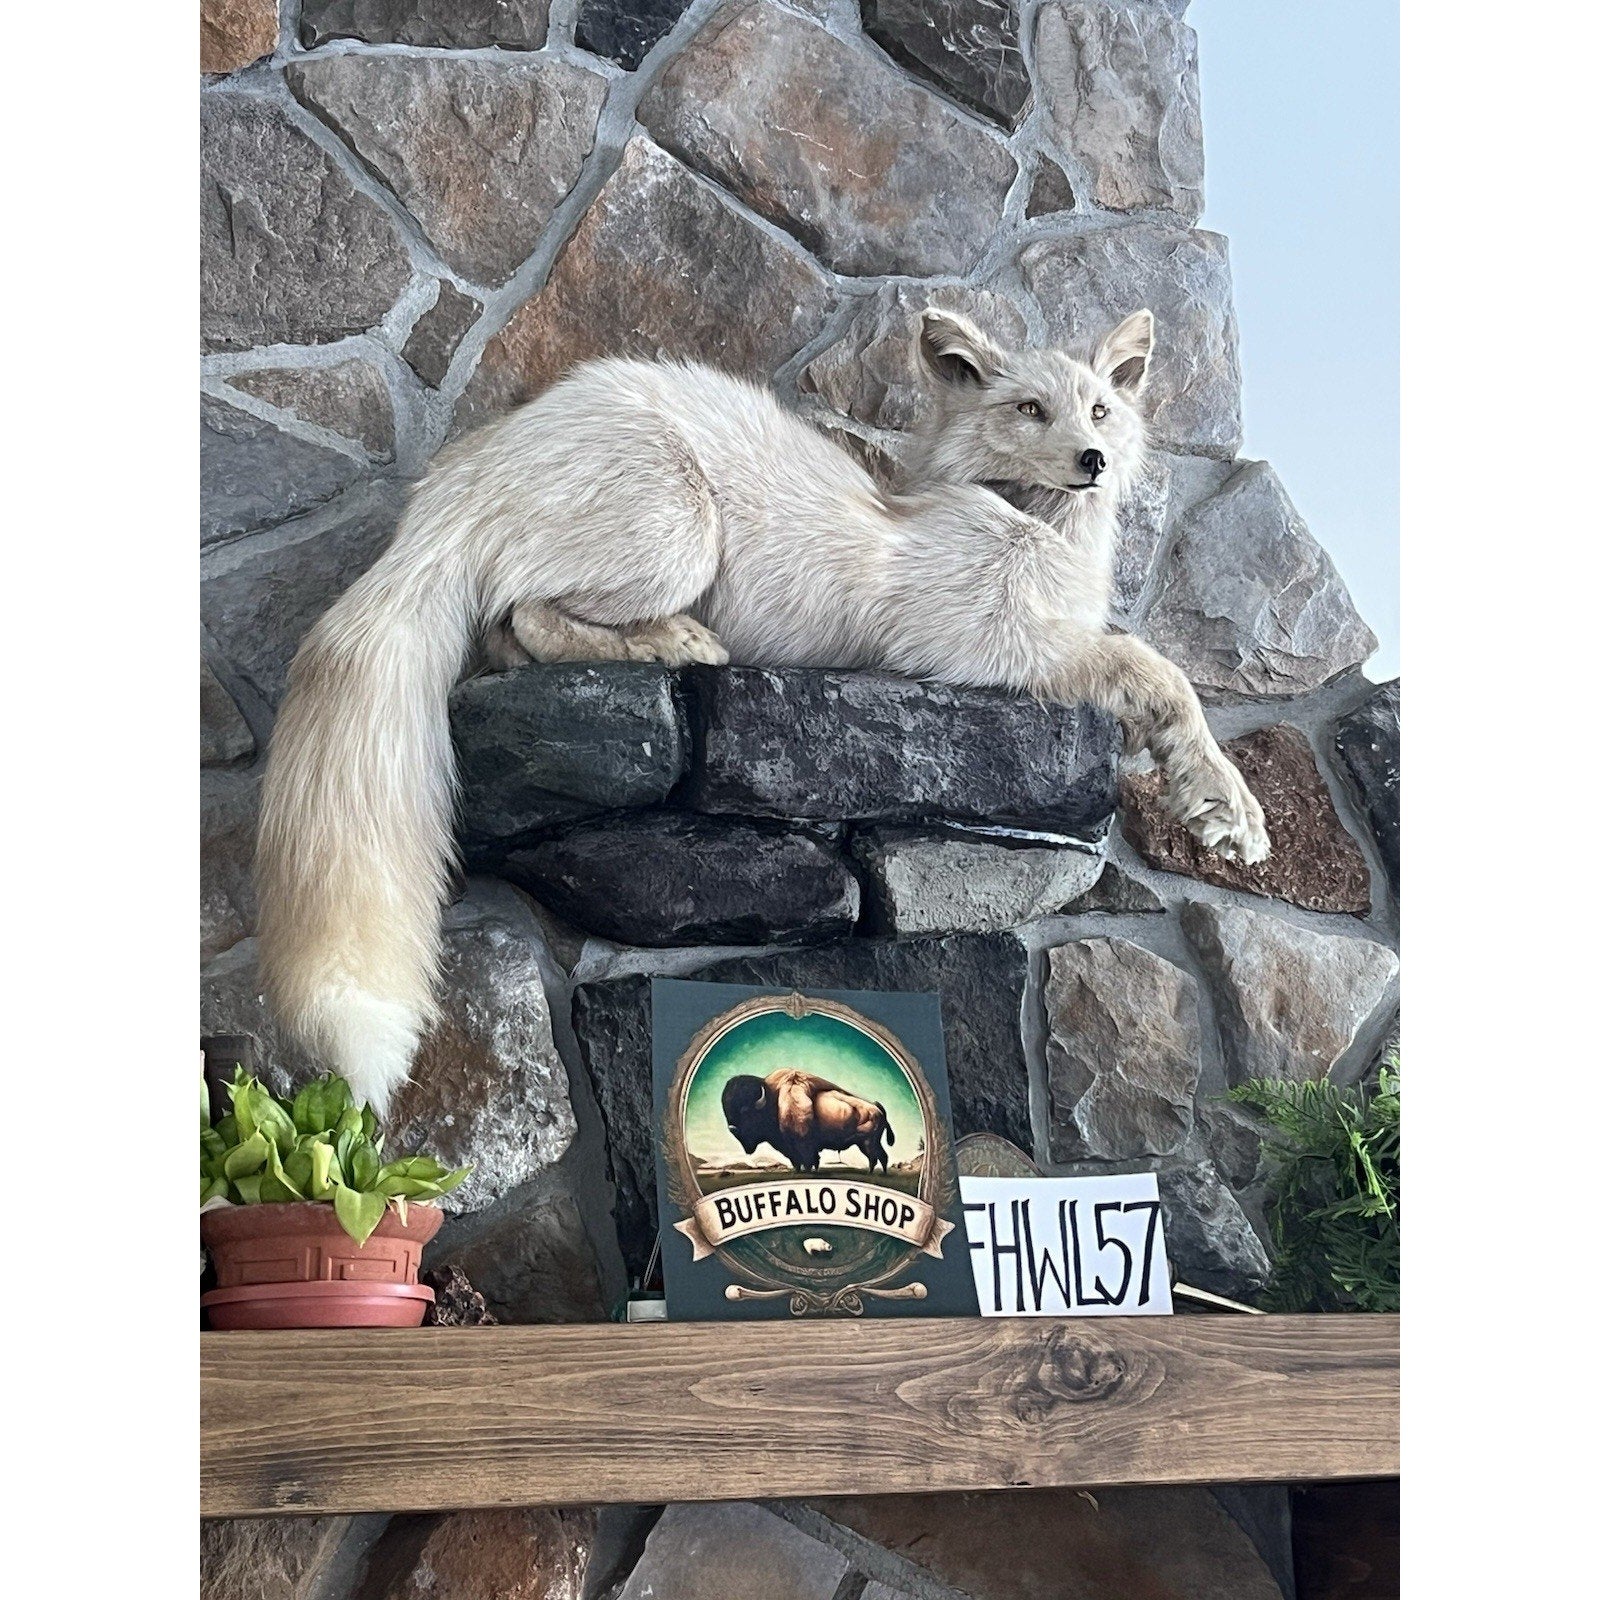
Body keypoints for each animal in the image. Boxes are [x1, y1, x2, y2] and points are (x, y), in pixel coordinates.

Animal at [255, 306, 1269, 1113]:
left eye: (1100, 409)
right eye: (1029, 410)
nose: (1092, 461)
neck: (1029, 528)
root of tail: (461, 473)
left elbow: (1154, 679)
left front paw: (1207, 801)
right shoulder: (985, 647)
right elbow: (1160, 672)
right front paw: (1231, 807)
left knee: (505, 634)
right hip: (679, 532)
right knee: (523, 618)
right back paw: (674, 644)